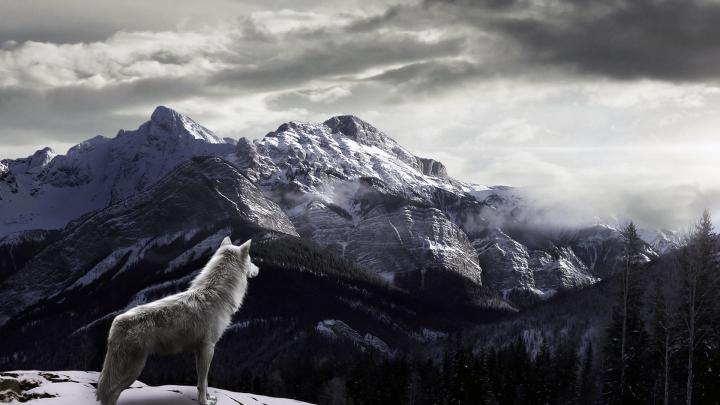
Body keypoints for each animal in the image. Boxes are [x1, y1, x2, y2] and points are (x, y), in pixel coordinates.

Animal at [96, 237, 259, 405]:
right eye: (251, 260)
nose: (258, 269)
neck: (215, 294)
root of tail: (117, 321)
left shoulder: (199, 350)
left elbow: (203, 381)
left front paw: (208, 397)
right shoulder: (208, 348)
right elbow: (203, 382)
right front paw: (204, 402)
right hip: (134, 370)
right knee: (111, 393)